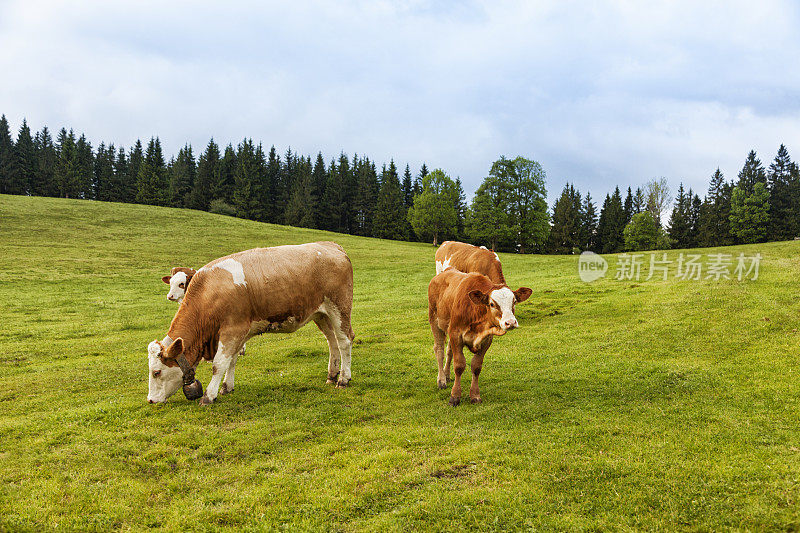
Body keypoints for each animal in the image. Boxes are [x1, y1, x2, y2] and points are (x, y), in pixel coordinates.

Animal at [147, 241, 354, 404]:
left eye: (156, 372)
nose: (150, 400)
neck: (209, 292)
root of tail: (330, 245)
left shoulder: (232, 330)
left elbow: (219, 364)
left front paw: (209, 395)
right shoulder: (238, 333)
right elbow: (231, 360)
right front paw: (226, 387)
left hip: (339, 308)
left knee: (345, 341)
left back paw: (343, 379)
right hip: (321, 314)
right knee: (332, 341)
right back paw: (332, 375)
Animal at [424, 268, 532, 406]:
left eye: (514, 302)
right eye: (492, 304)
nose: (510, 322)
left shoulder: (486, 340)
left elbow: (476, 366)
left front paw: (475, 395)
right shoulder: (455, 334)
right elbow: (459, 365)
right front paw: (455, 396)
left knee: (449, 351)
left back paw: (447, 375)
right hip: (435, 321)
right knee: (439, 350)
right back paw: (441, 379)